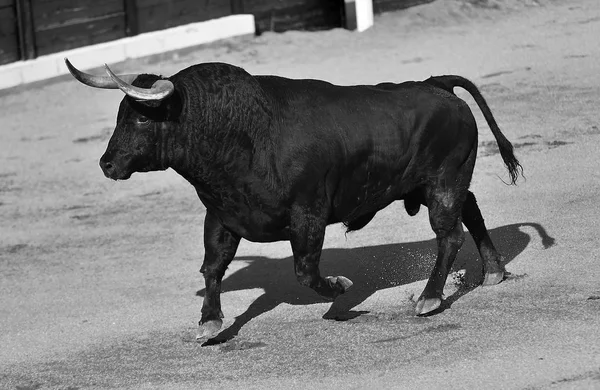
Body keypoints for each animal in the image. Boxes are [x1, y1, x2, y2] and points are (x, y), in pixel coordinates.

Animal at [65, 58, 520, 342]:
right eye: (121, 116)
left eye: (142, 117)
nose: (107, 164)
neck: (241, 133)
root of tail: (435, 85)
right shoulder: (222, 214)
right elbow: (212, 267)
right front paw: (210, 323)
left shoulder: (308, 215)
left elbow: (305, 271)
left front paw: (339, 288)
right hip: (430, 186)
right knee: (470, 207)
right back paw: (493, 271)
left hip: (443, 180)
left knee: (449, 234)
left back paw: (429, 298)